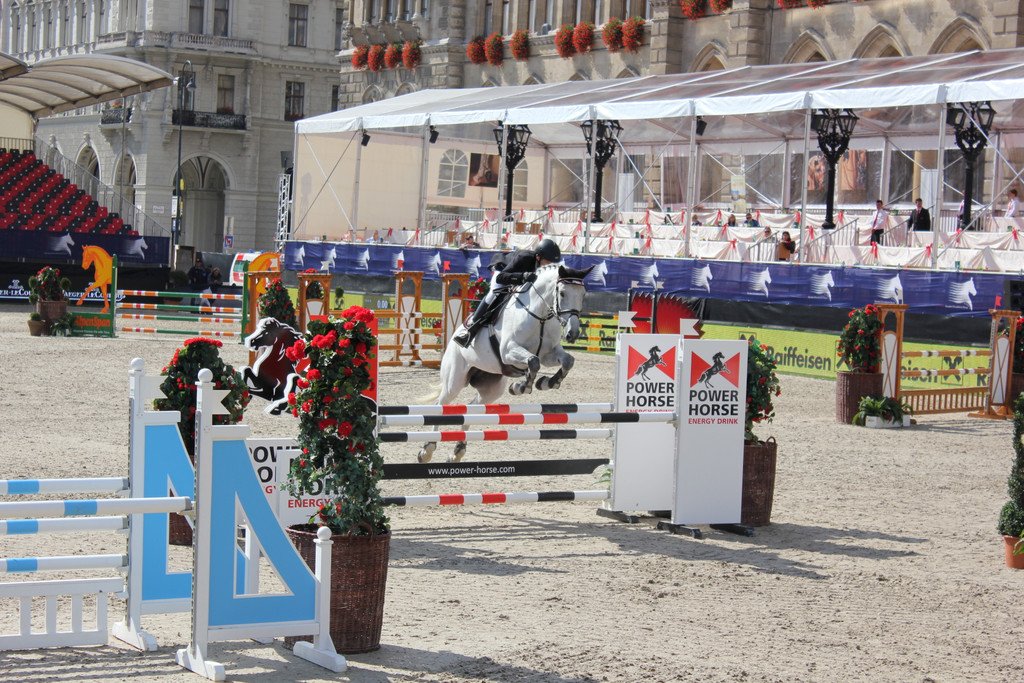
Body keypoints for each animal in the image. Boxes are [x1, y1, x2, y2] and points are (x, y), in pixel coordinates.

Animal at [417, 262, 594, 463]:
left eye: (583, 294)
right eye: (562, 293)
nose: (572, 334)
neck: (540, 315)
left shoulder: (549, 354)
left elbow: (567, 361)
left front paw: (548, 382)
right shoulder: (508, 351)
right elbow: (533, 362)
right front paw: (521, 387)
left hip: (491, 388)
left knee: (472, 408)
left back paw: (457, 451)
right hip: (454, 381)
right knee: (441, 405)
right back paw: (427, 449)